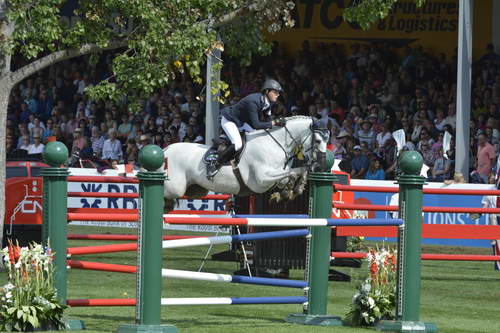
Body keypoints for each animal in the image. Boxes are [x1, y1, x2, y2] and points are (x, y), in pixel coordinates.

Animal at [162, 115, 330, 201]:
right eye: (318, 141)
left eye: (328, 141)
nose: (320, 166)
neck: (274, 143)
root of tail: (165, 149)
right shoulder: (261, 179)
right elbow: (293, 172)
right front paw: (289, 189)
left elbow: (296, 171)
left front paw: (292, 189)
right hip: (175, 188)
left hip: (196, 190)